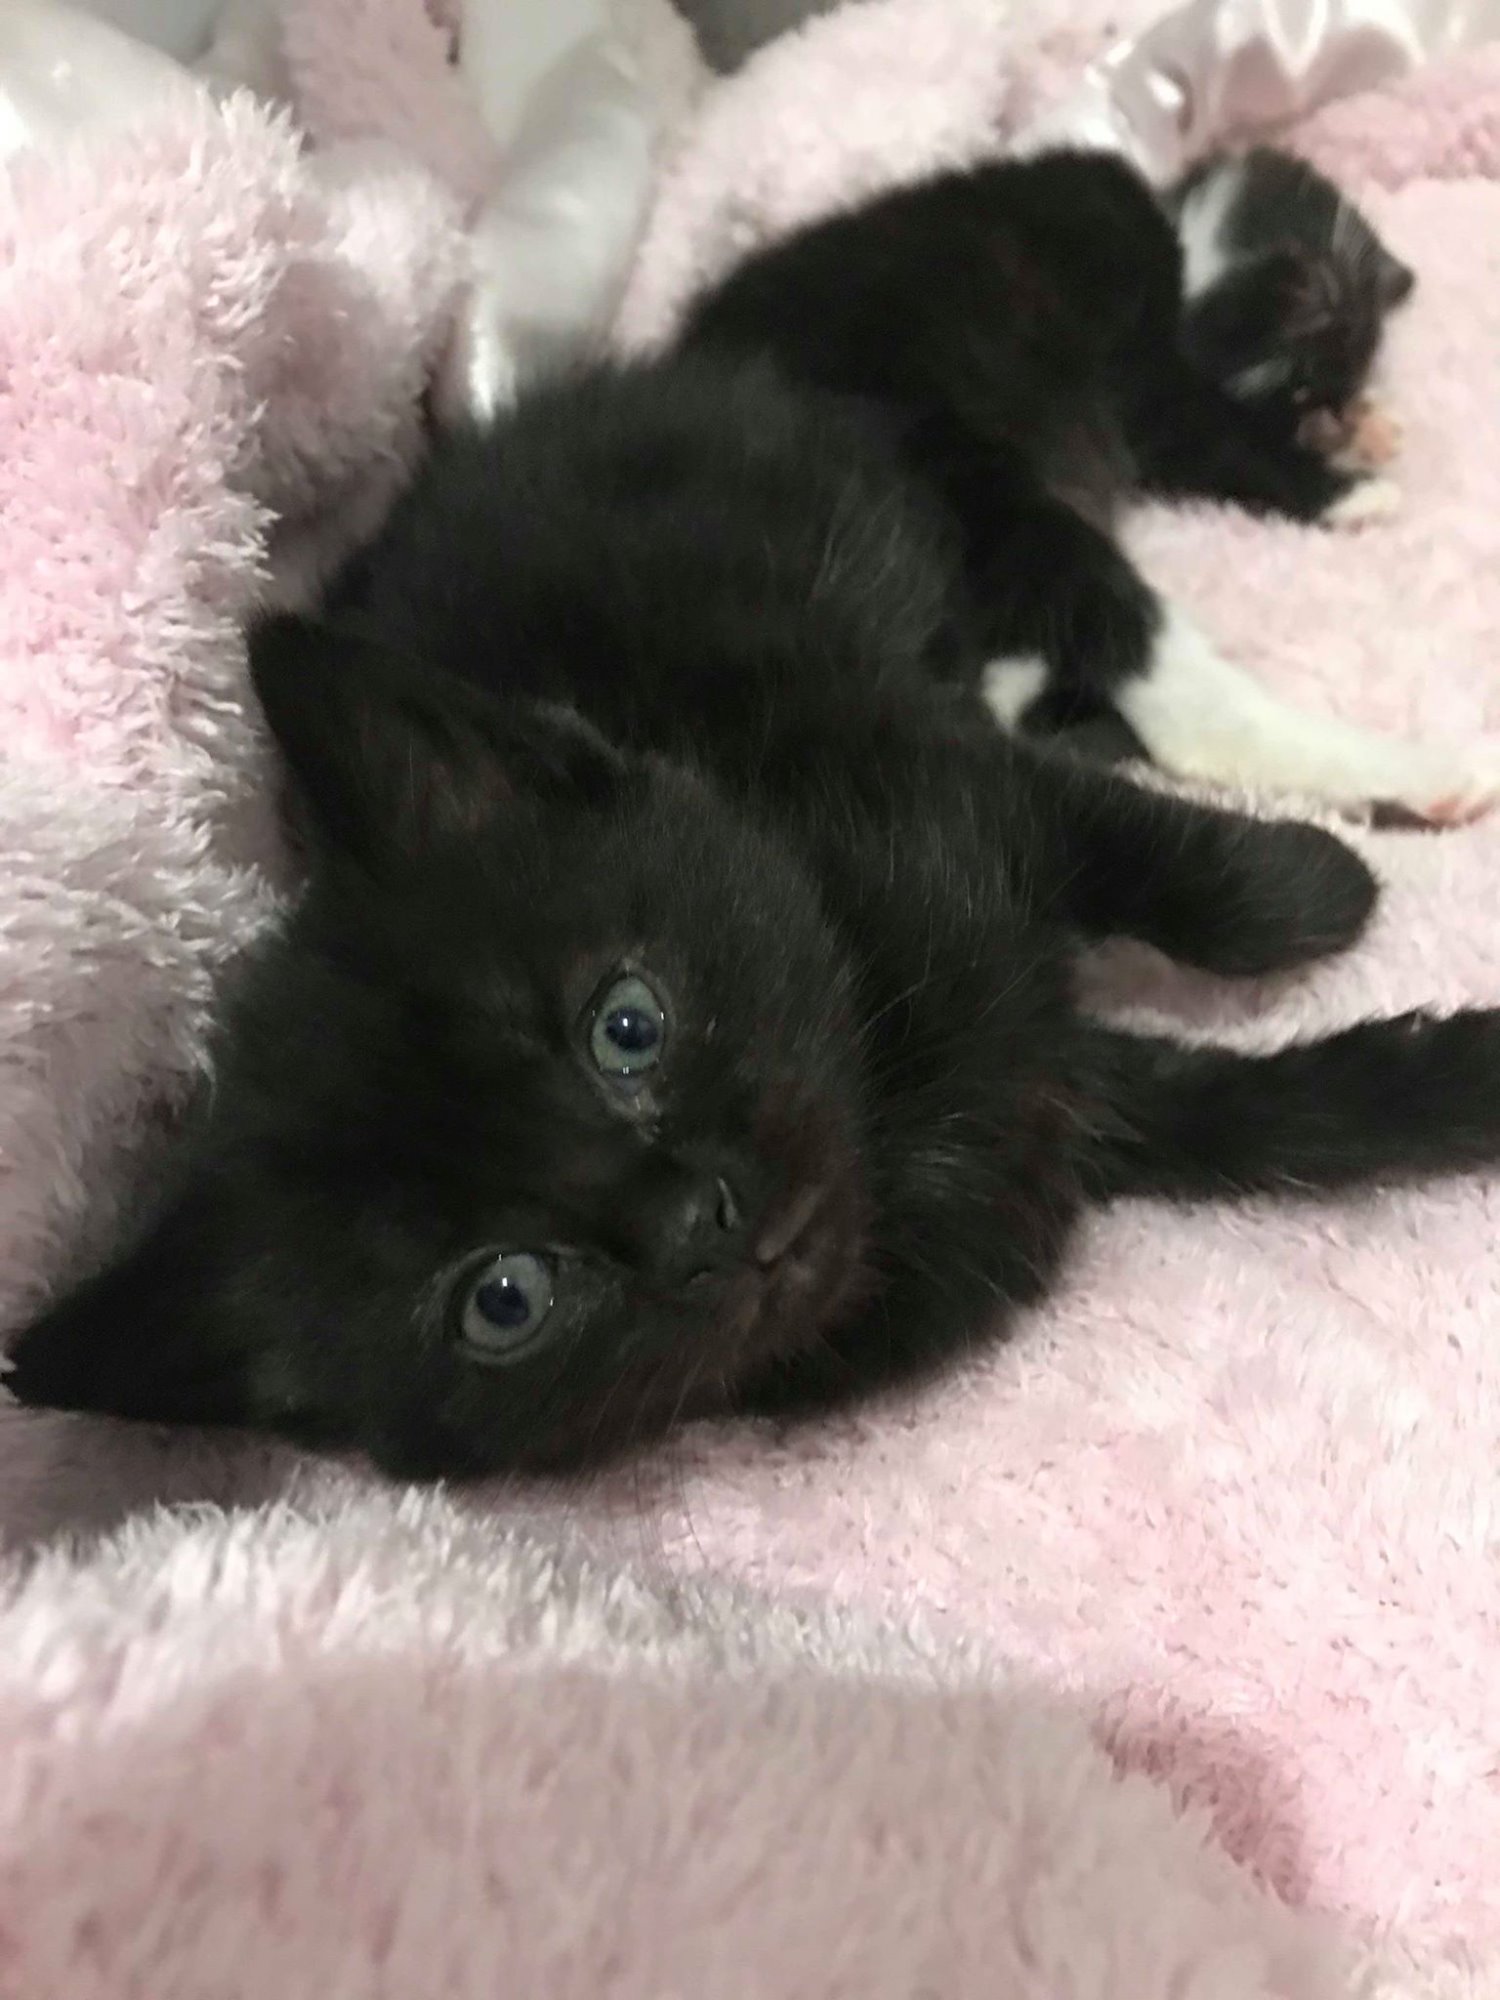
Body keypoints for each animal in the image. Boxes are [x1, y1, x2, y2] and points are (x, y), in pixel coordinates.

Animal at [9, 350, 1500, 1482]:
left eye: (627, 1023)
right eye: (504, 1298)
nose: (698, 1220)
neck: (896, 1097)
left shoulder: (899, 752)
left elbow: (1131, 847)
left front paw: (1322, 891)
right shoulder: (1069, 1100)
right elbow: (1274, 1118)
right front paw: (1446, 1073)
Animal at [679, 146, 1489, 821]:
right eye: (1300, 389)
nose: (1332, 415)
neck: (1174, 233)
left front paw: (1369, 428)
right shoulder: (1144, 378)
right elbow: (1221, 444)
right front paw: (1349, 489)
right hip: (981, 487)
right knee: (1181, 710)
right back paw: (1433, 776)